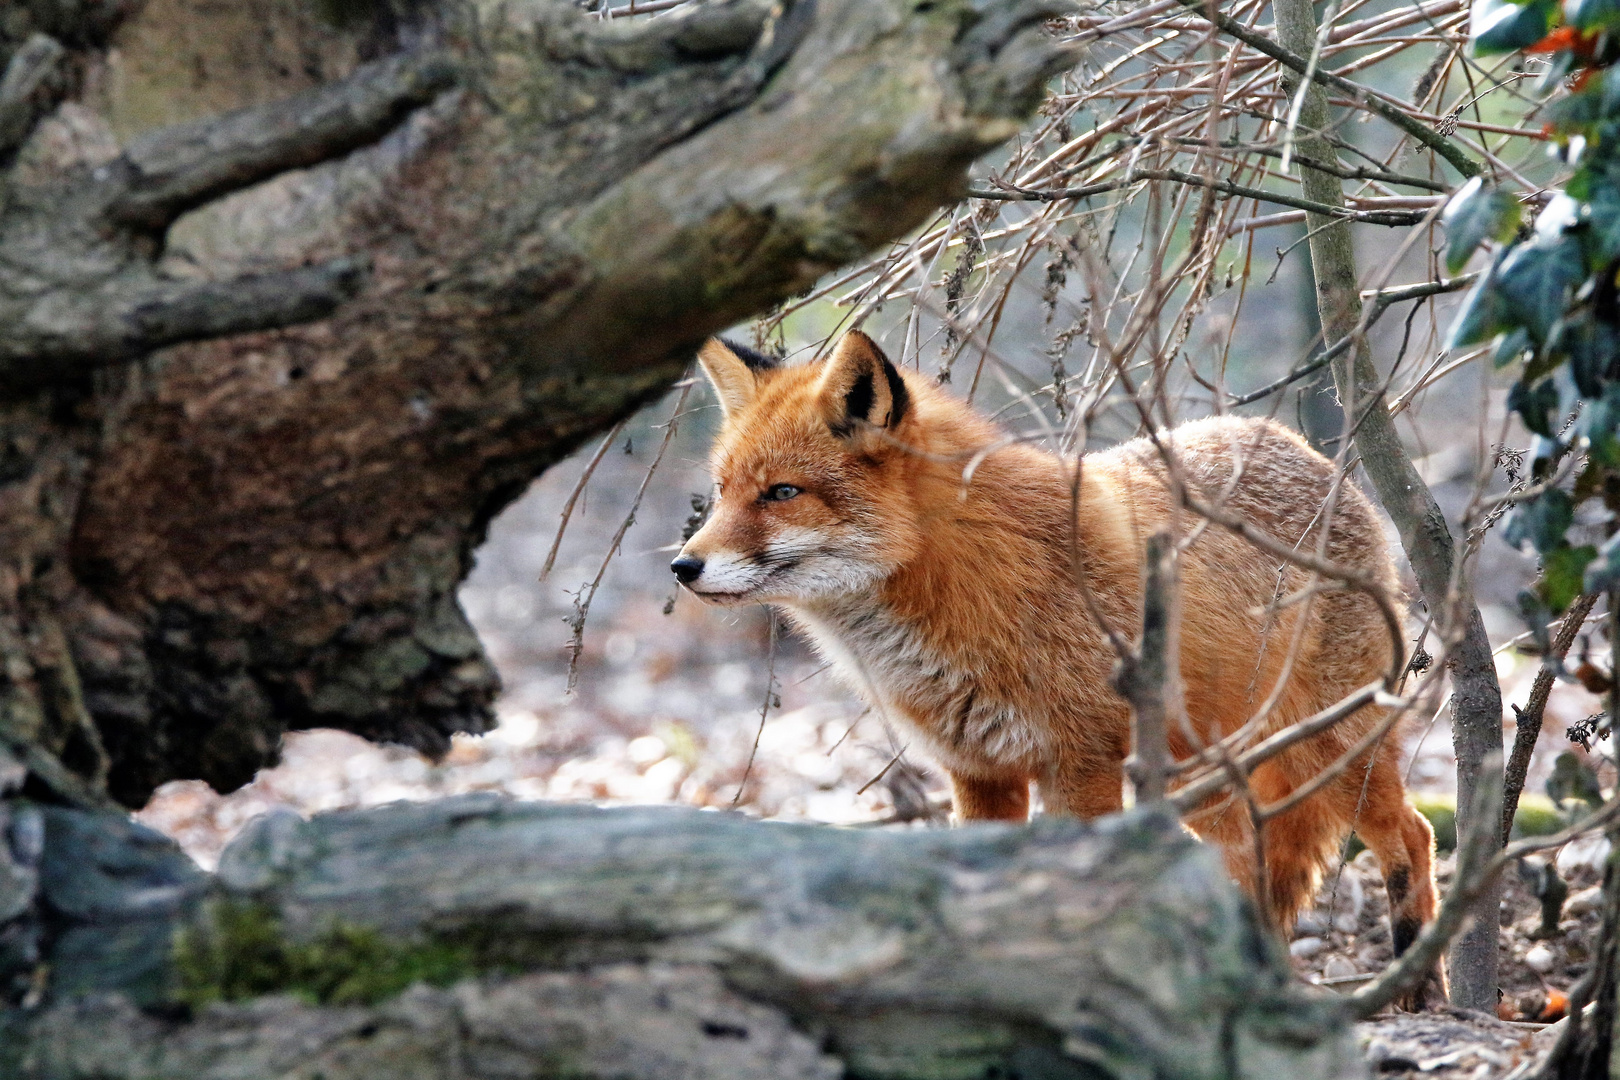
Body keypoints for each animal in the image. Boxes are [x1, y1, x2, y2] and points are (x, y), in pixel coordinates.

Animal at [677, 330, 1438, 971]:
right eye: (721, 491)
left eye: (782, 493)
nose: (683, 567)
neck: (959, 584)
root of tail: (1306, 449)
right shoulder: (978, 770)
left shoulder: (1082, 763)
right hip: (1208, 782)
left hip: (1334, 751)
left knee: (1413, 834)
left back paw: (1418, 981)